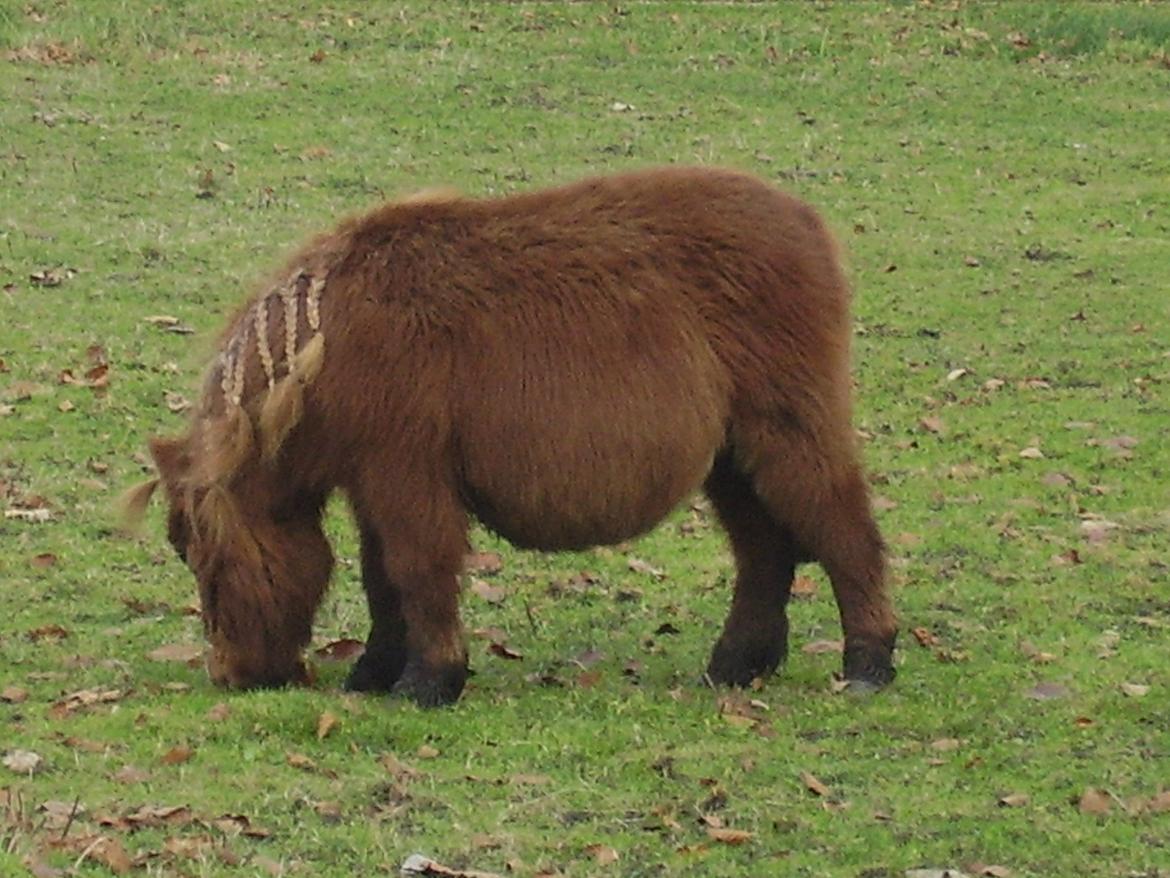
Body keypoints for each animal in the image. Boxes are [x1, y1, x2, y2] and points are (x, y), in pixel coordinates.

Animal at [125, 165, 893, 707]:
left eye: (203, 558)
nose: (233, 675)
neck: (328, 334)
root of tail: (807, 223)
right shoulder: (374, 486)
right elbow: (382, 580)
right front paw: (375, 671)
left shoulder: (407, 478)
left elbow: (417, 570)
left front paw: (429, 681)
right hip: (733, 460)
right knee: (765, 552)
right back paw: (735, 666)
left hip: (790, 434)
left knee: (845, 533)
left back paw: (869, 663)